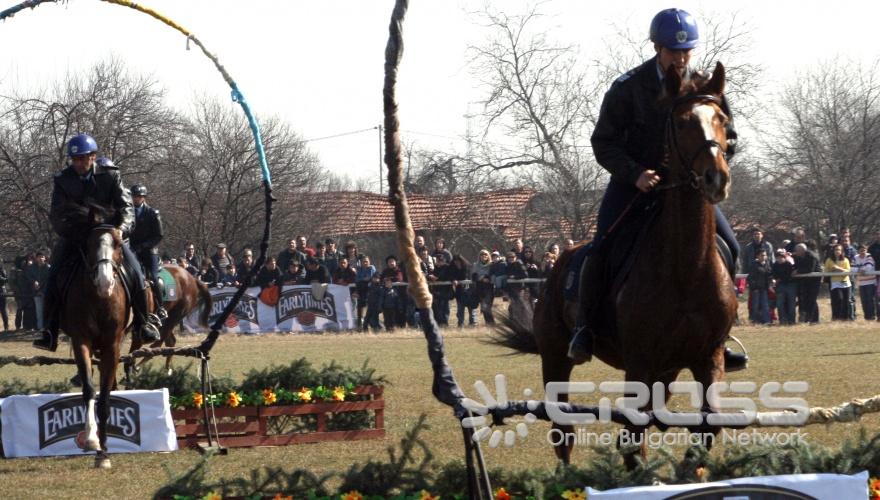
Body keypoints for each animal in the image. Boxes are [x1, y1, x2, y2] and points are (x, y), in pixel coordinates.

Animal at [60, 202, 131, 468]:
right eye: (89, 243)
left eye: (118, 243)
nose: (104, 281)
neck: (100, 300)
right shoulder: (81, 341)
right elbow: (90, 390)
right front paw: (92, 440)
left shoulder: (112, 346)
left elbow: (105, 399)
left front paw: (104, 452)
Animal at [496, 63, 736, 468]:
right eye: (683, 122)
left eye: (722, 120)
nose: (715, 178)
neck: (685, 271)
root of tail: (559, 262)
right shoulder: (639, 363)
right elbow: (634, 436)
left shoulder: (707, 357)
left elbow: (706, 428)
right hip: (556, 360)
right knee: (563, 430)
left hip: (666, 371)